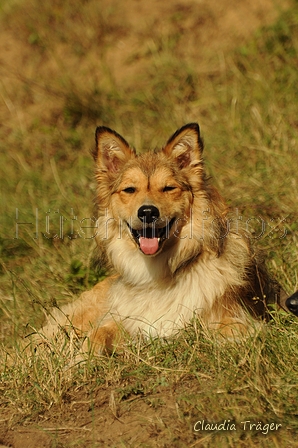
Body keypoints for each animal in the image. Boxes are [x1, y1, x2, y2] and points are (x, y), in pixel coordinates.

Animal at [35, 121, 294, 354]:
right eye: (129, 190)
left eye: (168, 188)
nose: (148, 212)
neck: (160, 274)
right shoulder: (122, 319)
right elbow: (97, 334)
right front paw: (78, 360)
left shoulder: (236, 322)